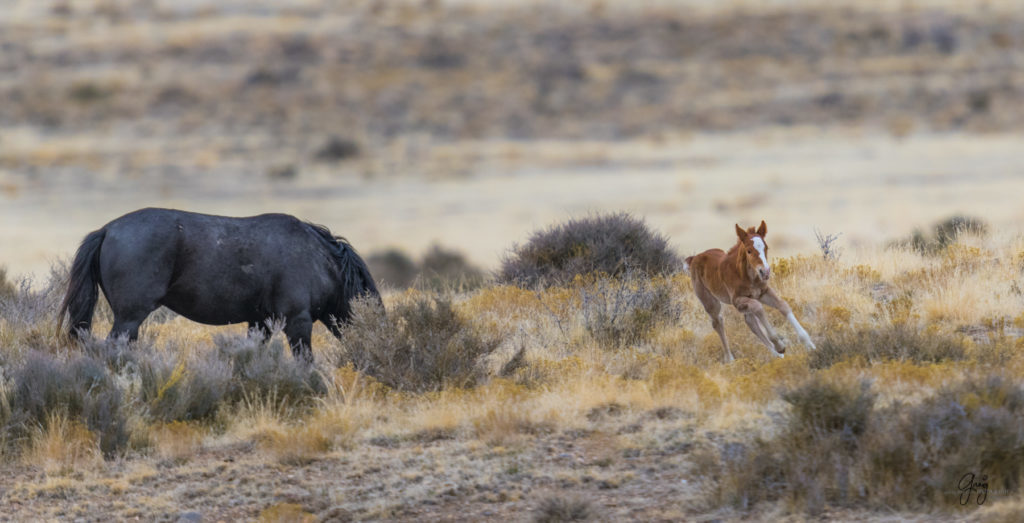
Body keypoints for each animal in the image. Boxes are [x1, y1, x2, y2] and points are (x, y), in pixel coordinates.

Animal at [56, 208, 378, 360]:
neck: (316, 258)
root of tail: (107, 230)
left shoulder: (260, 322)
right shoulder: (297, 321)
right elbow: (305, 361)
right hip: (129, 317)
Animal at [688, 222, 815, 364]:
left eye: (766, 248)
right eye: (749, 251)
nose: (765, 272)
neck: (747, 276)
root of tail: (694, 258)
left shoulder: (763, 292)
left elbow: (782, 305)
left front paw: (808, 343)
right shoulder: (737, 301)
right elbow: (758, 308)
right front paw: (779, 345)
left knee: (750, 322)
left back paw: (777, 355)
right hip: (709, 301)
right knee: (718, 322)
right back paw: (730, 359)